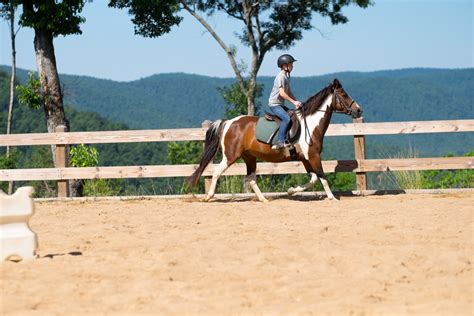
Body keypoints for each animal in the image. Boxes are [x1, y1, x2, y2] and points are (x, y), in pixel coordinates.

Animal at [189, 79, 362, 202]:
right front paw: (332, 197)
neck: (311, 124)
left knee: (251, 178)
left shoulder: (305, 158)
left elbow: (313, 178)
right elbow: (322, 177)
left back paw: (263, 199)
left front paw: (291, 190)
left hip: (249, 157)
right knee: (217, 172)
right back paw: (208, 197)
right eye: (344, 94)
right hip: (231, 156)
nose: (359, 110)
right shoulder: (313, 156)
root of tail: (228, 122)